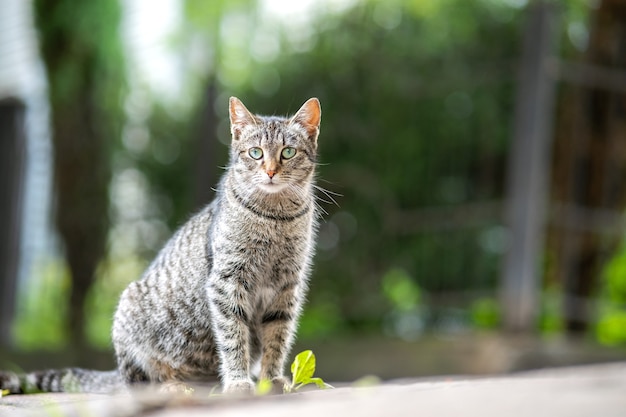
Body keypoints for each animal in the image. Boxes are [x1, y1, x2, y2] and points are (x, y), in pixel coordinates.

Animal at [0, 96, 322, 394]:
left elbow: (277, 338)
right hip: (129, 314)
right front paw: (238, 381)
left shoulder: (287, 287)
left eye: (288, 152)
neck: (275, 217)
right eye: (256, 153)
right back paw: (173, 386)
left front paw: (270, 379)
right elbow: (233, 337)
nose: (270, 171)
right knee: (140, 382)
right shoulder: (227, 281)